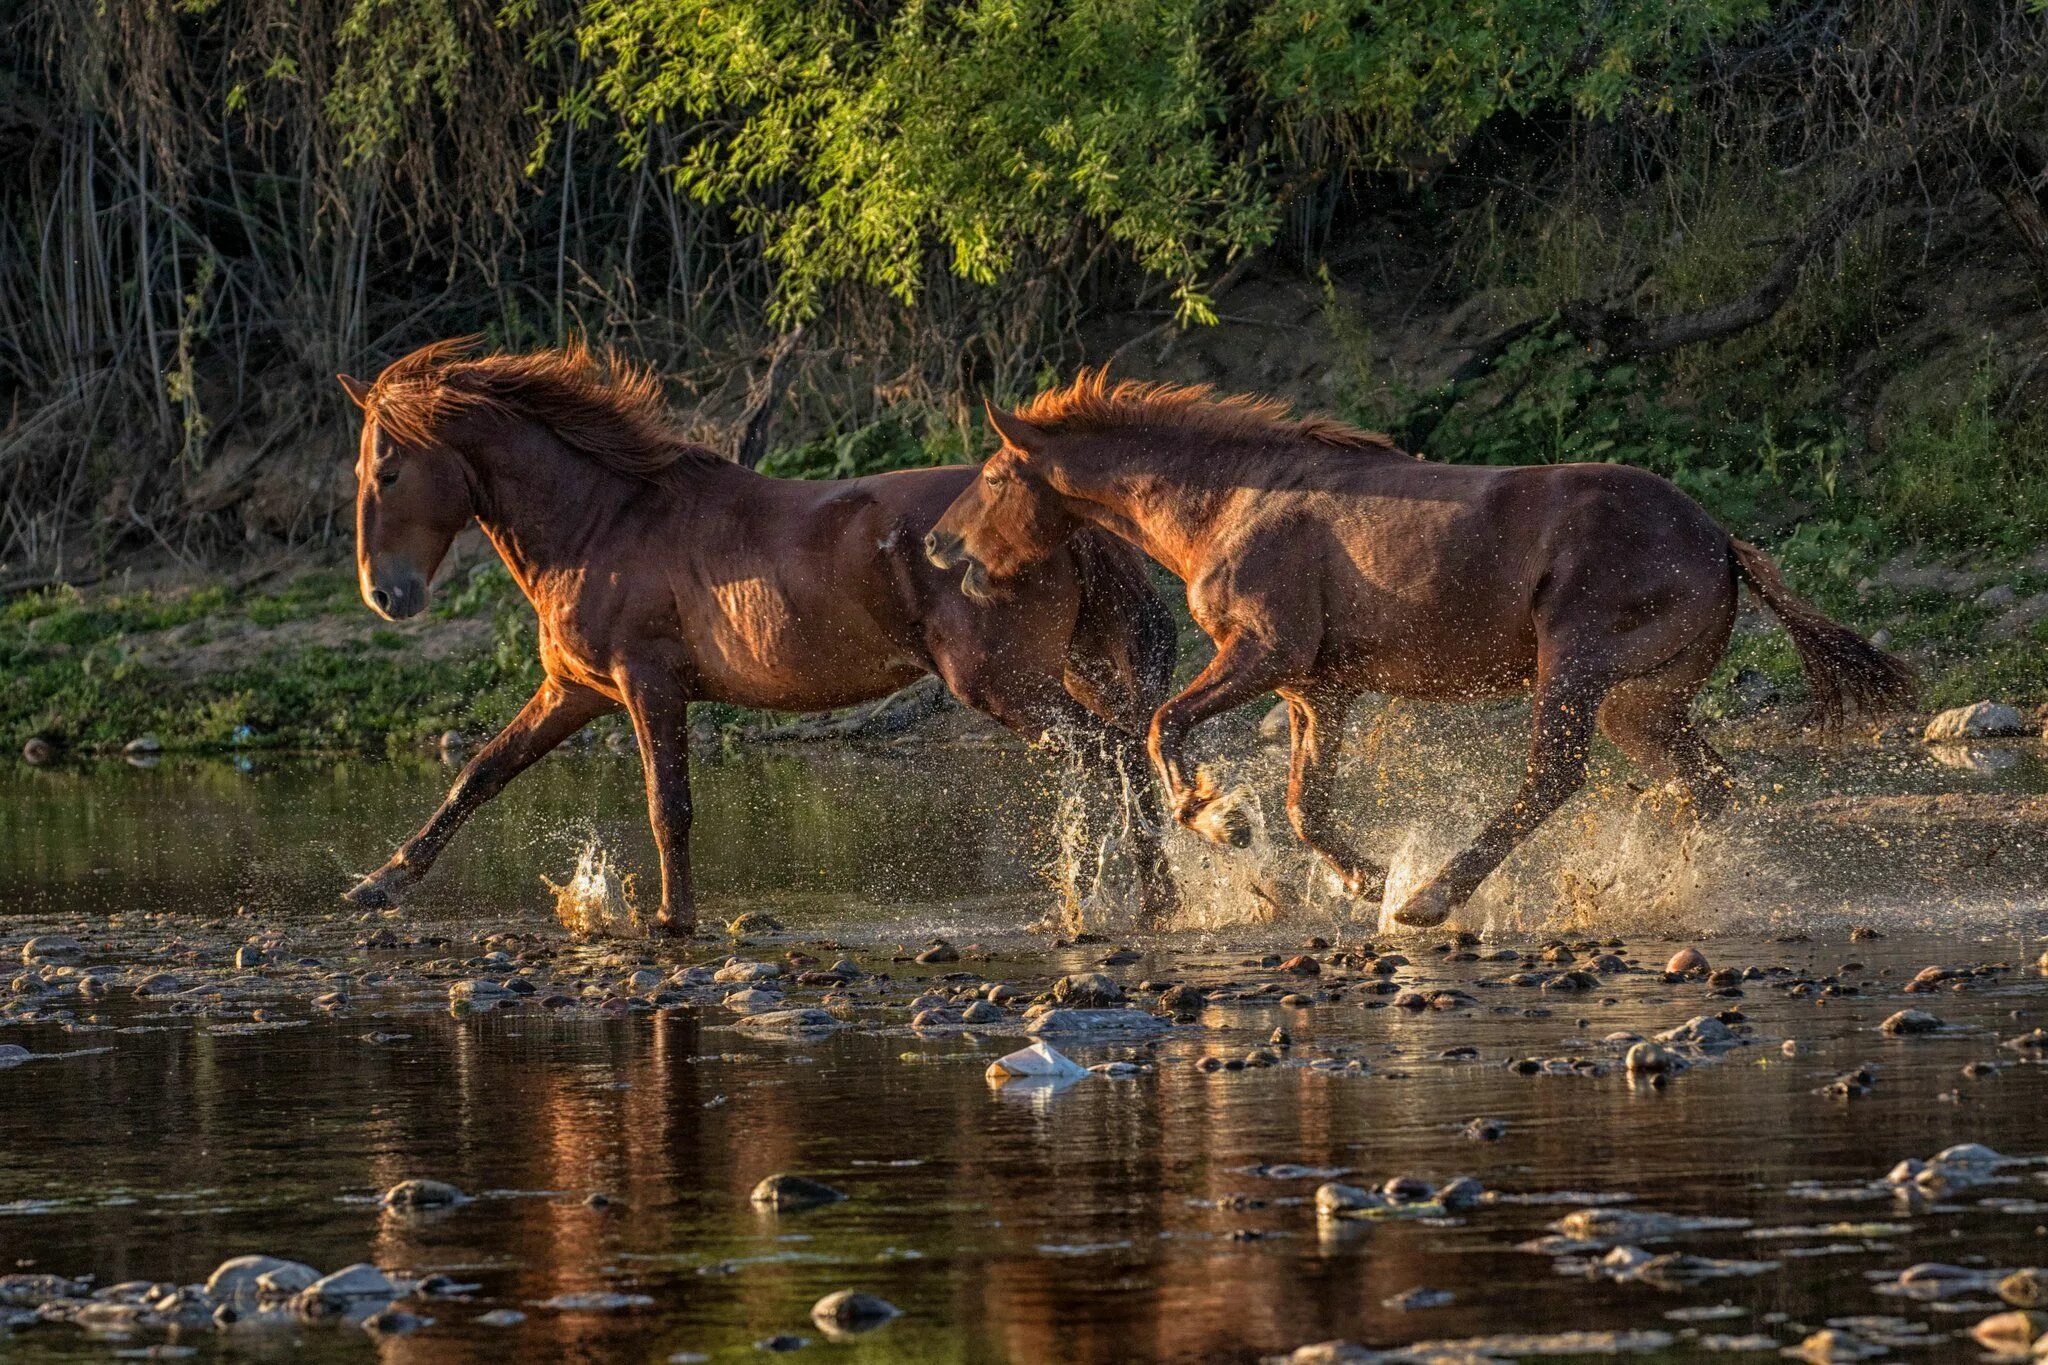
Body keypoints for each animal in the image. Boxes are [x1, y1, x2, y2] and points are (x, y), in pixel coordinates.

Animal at [329, 343, 1179, 941]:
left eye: (389, 470)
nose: (384, 595)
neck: (602, 522)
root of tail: (1072, 525)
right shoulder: (575, 691)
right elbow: (477, 774)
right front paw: (378, 884)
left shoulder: (647, 685)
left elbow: (666, 805)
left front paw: (672, 919)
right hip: (1064, 671)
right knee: (1124, 748)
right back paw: (1151, 899)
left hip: (1003, 682)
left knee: (1112, 751)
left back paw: (1127, 899)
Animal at [929, 368, 1916, 933]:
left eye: (993, 474)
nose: (938, 544)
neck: (1224, 503)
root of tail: (1720, 540)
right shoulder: (1315, 692)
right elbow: (1307, 808)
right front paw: (1356, 878)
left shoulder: (1263, 651)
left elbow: (1164, 728)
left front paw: (1222, 819)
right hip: (1643, 702)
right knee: (1706, 785)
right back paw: (1650, 879)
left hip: (1575, 665)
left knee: (1551, 778)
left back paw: (1435, 897)